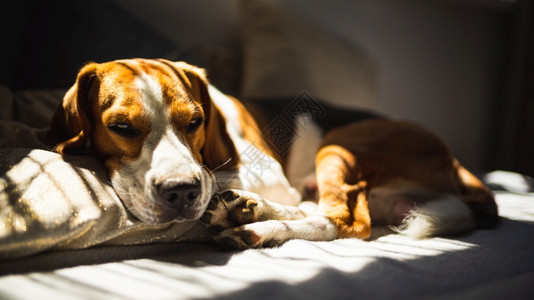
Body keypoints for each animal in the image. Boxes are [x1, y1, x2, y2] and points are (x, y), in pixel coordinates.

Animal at [52, 58, 500, 248]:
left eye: (195, 121)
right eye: (121, 128)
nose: (181, 192)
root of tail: (456, 164)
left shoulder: (268, 174)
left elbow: (216, 174)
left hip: (338, 146)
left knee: (345, 221)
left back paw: (258, 226)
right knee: (317, 208)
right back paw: (249, 210)